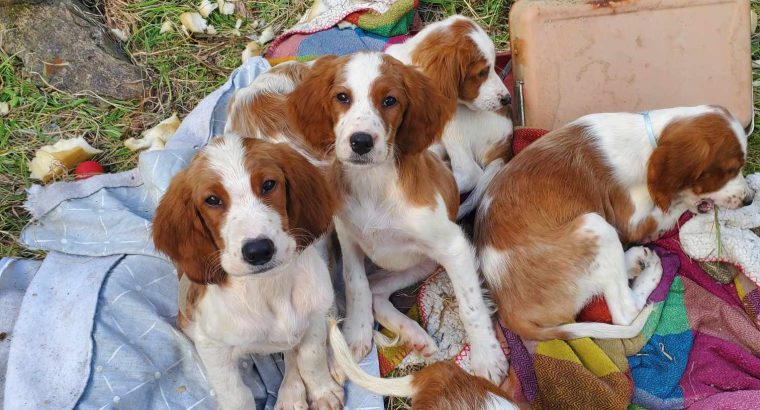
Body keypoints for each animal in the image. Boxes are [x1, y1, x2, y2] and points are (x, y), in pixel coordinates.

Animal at [153, 135, 342, 410]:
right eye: (212, 200)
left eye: (268, 184)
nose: (259, 250)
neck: (269, 287)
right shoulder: (212, 346)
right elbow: (236, 394)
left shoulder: (314, 316)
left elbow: (311, 358)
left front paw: (322, 391)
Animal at [290, 52, 510, 384]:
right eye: (342, 97)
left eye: (390, 100)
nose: (361, 142)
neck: (374, 184)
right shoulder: (348, 237)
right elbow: (355, 284)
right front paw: (356, 333)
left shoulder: (454, 247)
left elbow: (470, 304)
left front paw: (487, 355)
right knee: (374, 288)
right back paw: (411, 334)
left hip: (424, 263)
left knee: (380, 289)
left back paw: (415, 334)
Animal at [478, 105, 752, 340]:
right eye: (729, 171)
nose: (750, 199)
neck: (648, 140)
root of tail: (508, 312)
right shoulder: (635, 222)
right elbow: (675, 205)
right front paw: (692, 201)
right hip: (595, 226)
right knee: (625, 313)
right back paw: (652, 269)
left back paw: (634, 260)